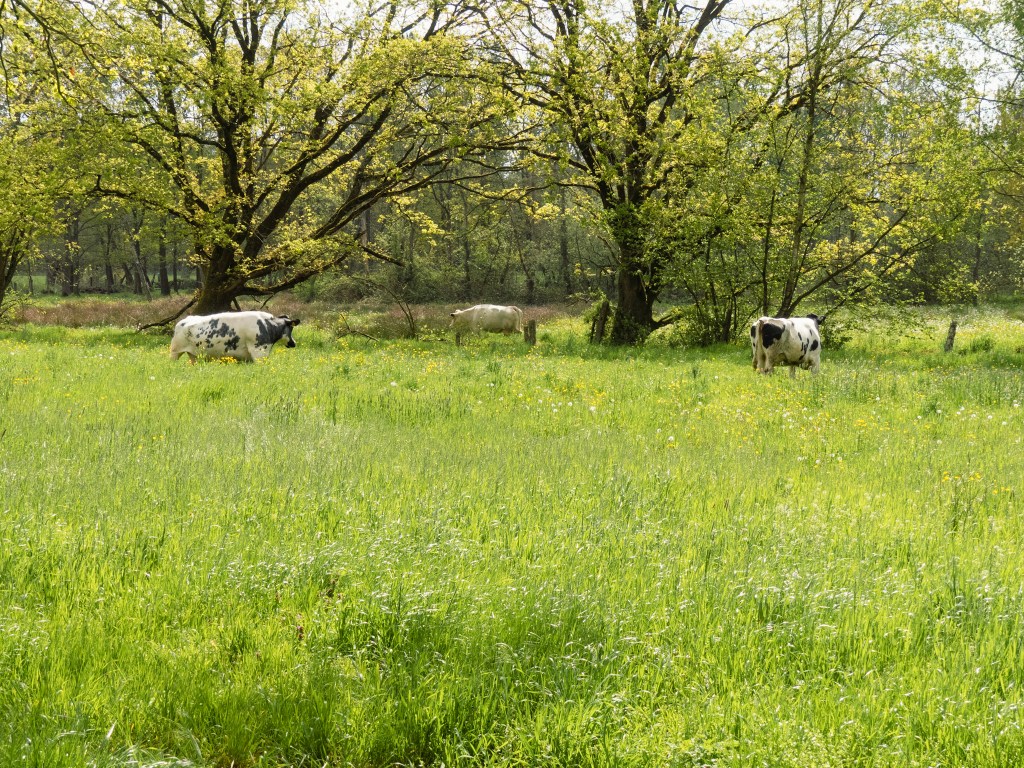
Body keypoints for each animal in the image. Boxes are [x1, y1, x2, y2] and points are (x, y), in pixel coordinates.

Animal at [170, 311, 301, 363]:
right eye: (291, 328)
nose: (293, 343)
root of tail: (182, 321)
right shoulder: (259, 352)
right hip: (175, 352)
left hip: (194, 357)